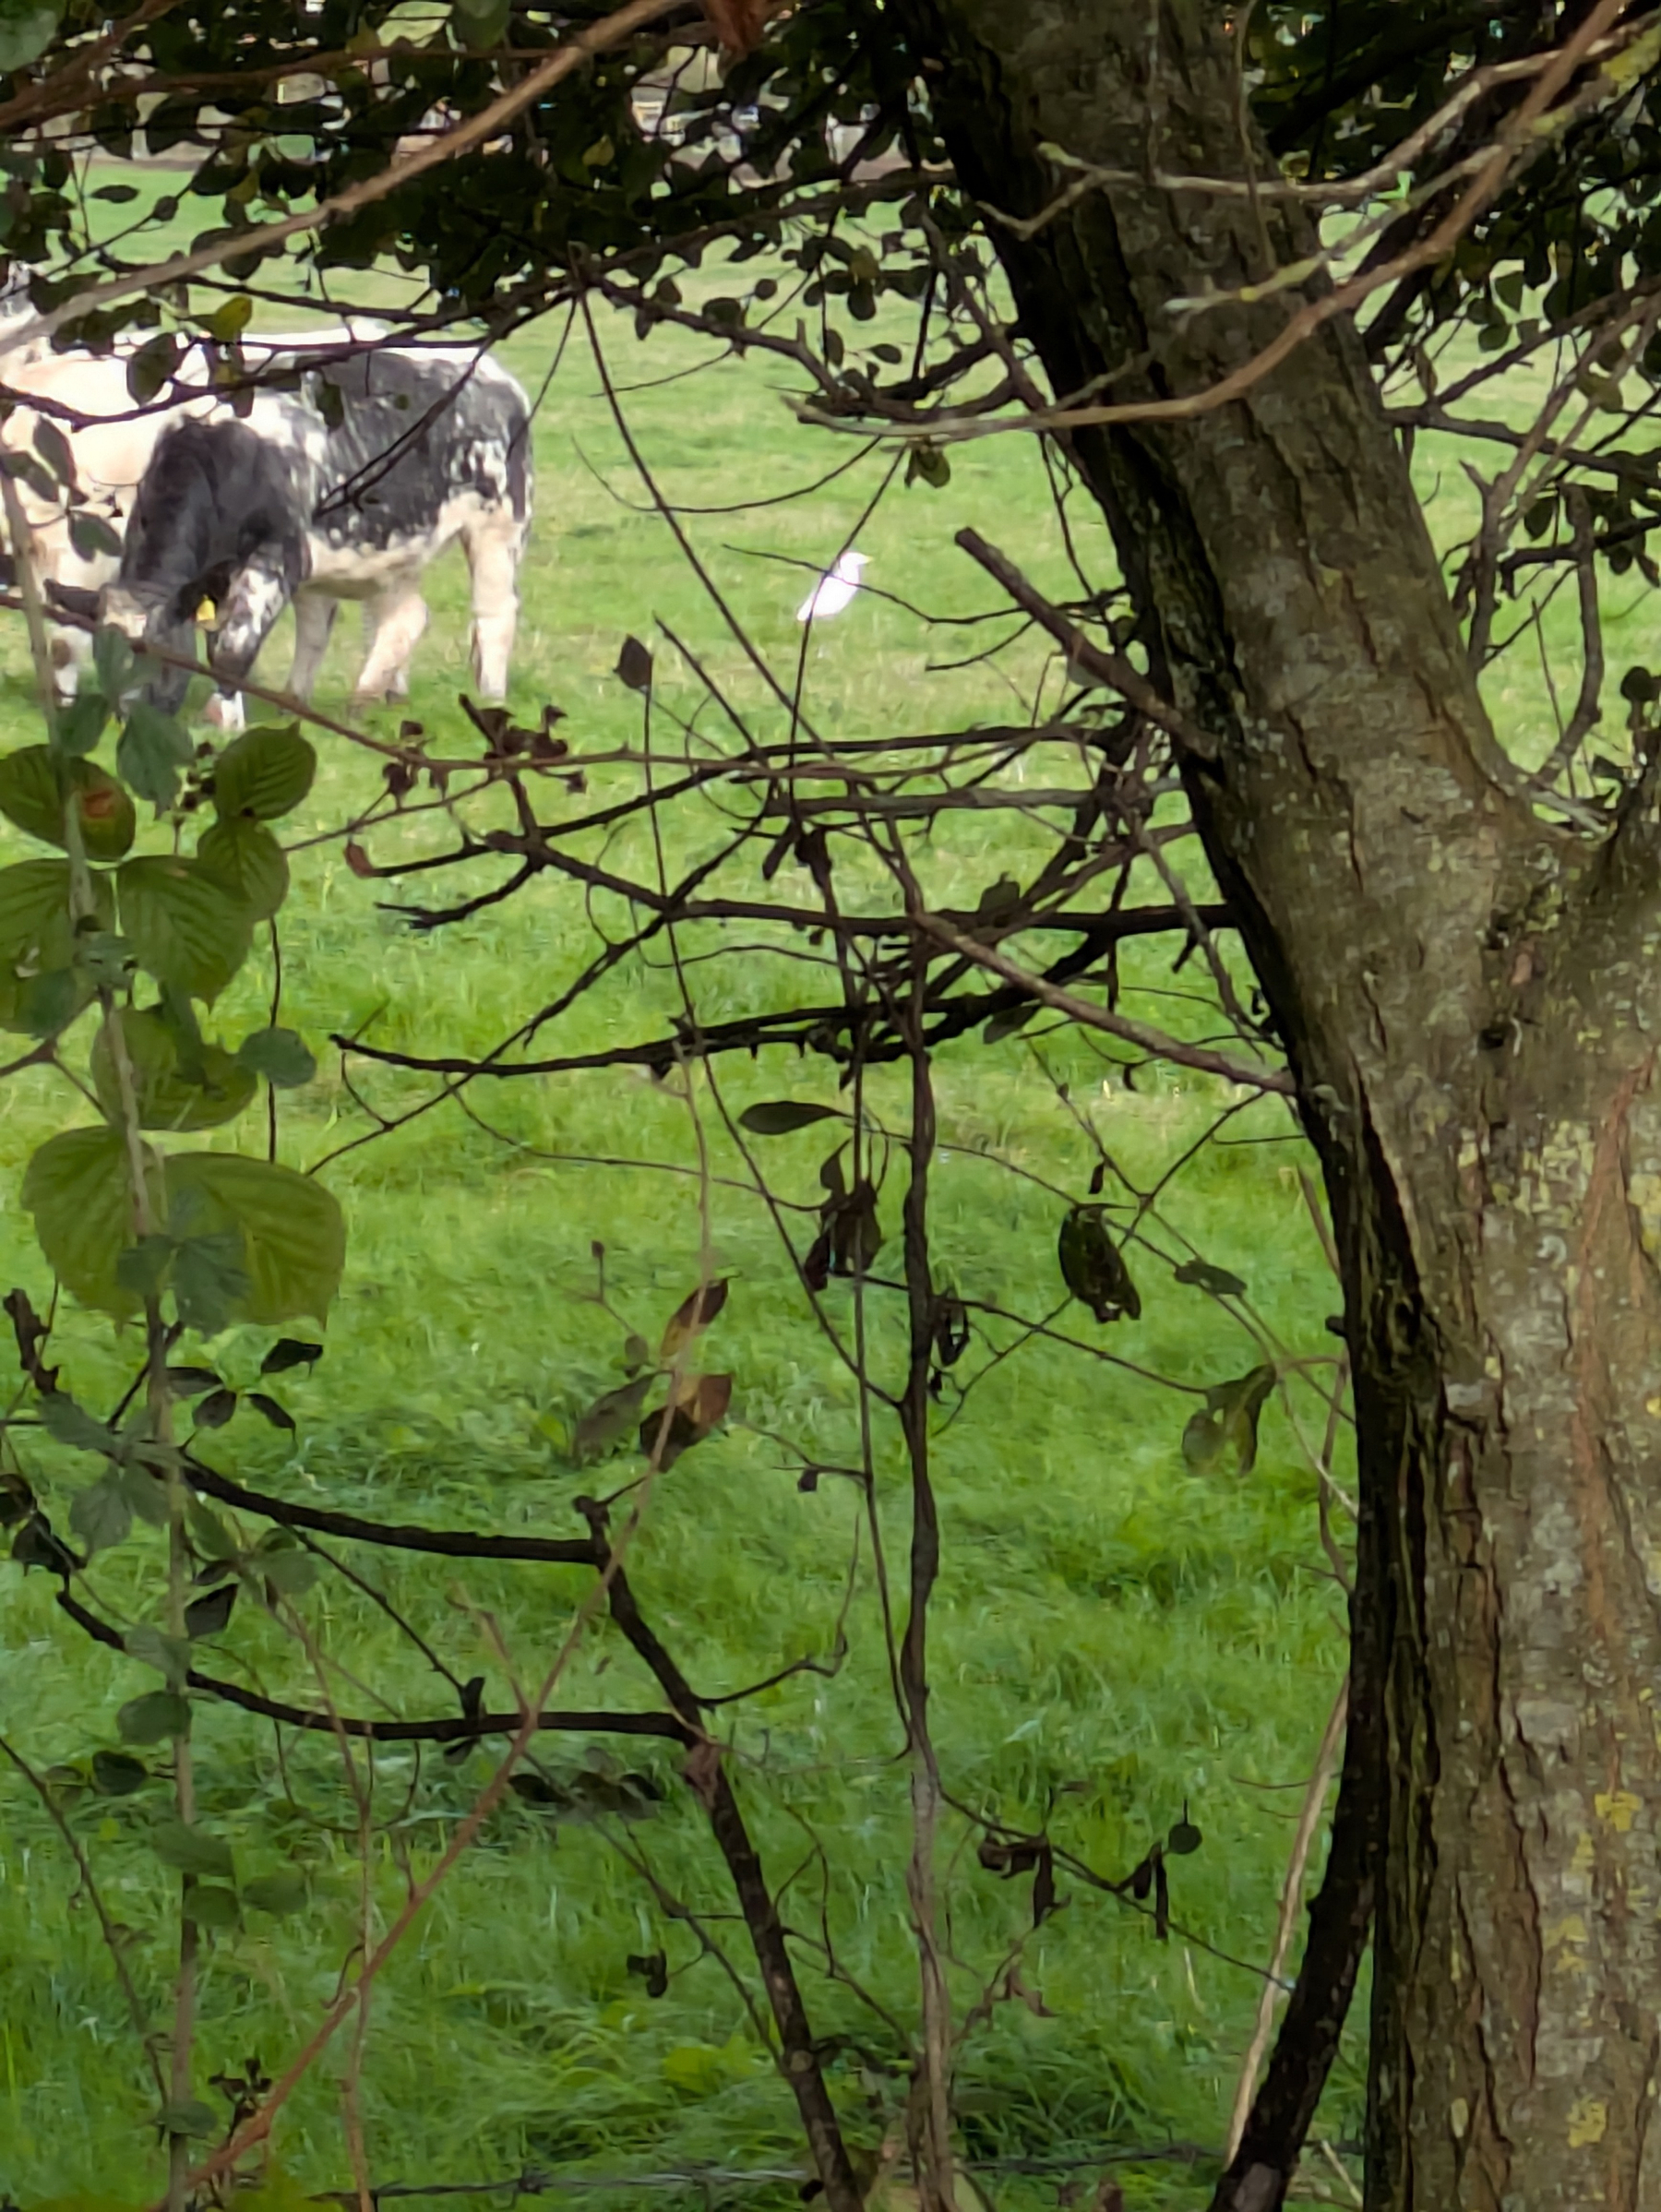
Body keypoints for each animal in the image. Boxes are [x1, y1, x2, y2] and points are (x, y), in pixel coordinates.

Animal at [97, 342, 533, 722]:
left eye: (156, 652)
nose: (125, 712)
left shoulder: (279, 553)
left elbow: (233, 646)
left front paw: (222, 719)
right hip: (397, 541)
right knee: (405, 616)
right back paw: (362, 698)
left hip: (500, 524)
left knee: (494, 613)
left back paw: (491, 699)